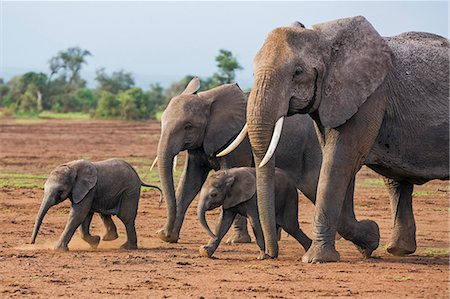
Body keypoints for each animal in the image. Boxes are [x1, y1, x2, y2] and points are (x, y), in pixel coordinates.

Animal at [30, 158, 160, 252]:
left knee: (126, 217)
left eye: (59, 192)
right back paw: (108, 238)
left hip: (129, 191)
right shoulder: (85, 191)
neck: (71, 168)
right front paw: (95, 242)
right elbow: (85, 216)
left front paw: (57, 249)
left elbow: (79, 213)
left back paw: (126, 247)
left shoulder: (89, 190)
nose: (31, 243)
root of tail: (138, 178)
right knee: (105, 214)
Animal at [156, 78, 322, 245]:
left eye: (188, 126)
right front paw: (167, 237)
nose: (163, 233)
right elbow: (190, 182)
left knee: (314, 185)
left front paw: (237, 241)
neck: (207, 99)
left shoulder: (237, 142)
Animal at [223, 15, 448, 262]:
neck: (324, 40)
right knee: (396, 181)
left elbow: (339, 160)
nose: (268, 255)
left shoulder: (369, 96)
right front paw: (370, 237)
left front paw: (316, 259)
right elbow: (337, 165)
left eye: (297, 72)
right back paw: (398, 250)